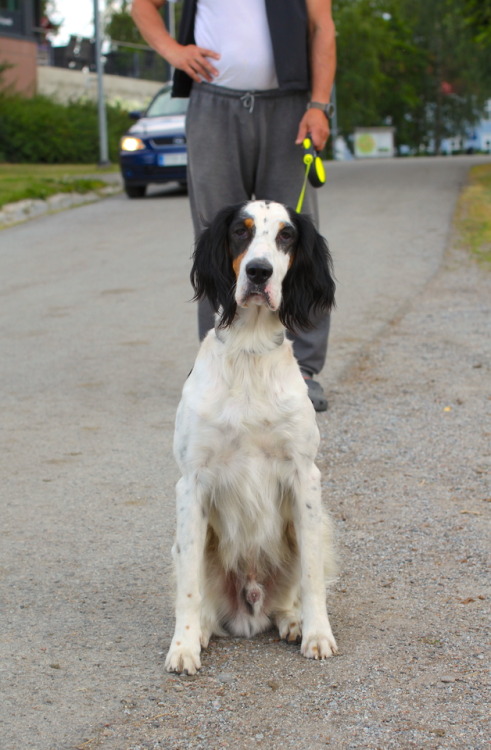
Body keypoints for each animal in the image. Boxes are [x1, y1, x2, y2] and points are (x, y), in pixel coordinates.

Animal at [165, 200, 338, 676]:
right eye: (240, 232)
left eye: (286, 235)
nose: (259, 272)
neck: (249, 351)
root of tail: (251, 604)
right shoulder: (192, 482)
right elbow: (189, 587)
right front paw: (183, 645)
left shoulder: (304, 476)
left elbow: (312, 579)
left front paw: (317, 634)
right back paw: (203, 630)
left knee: (292, 594)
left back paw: (294, 620)